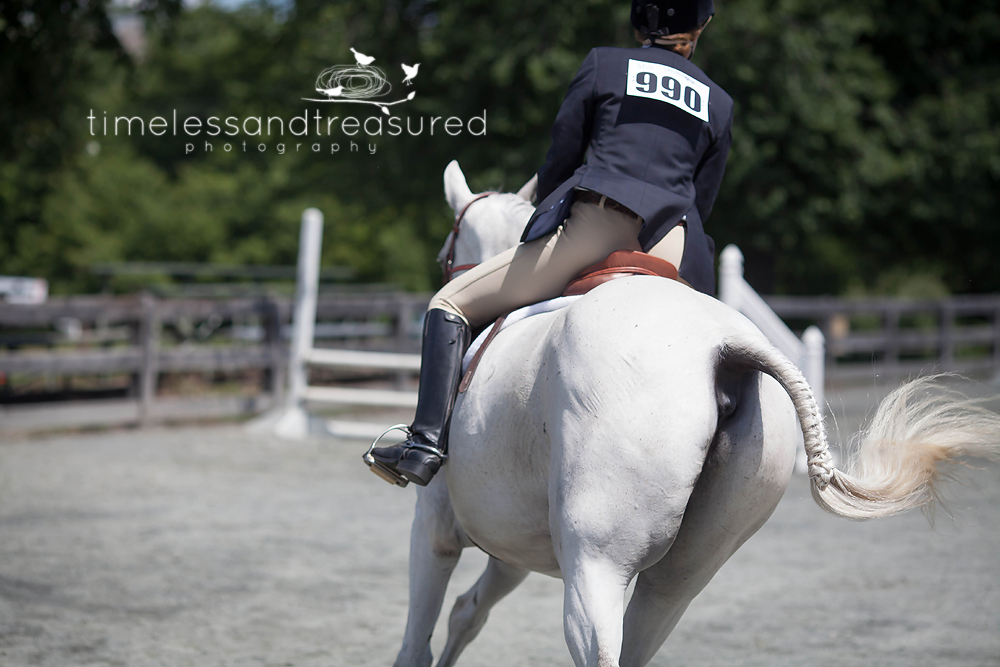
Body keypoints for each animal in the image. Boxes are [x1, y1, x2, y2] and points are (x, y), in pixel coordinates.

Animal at [383, 160, 1000, 667]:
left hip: (598, 562)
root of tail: (724, 345)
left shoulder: (436, 526)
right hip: (685, 572)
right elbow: (466, 614)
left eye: (445, 251)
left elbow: (420, 638)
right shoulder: (512, 548)